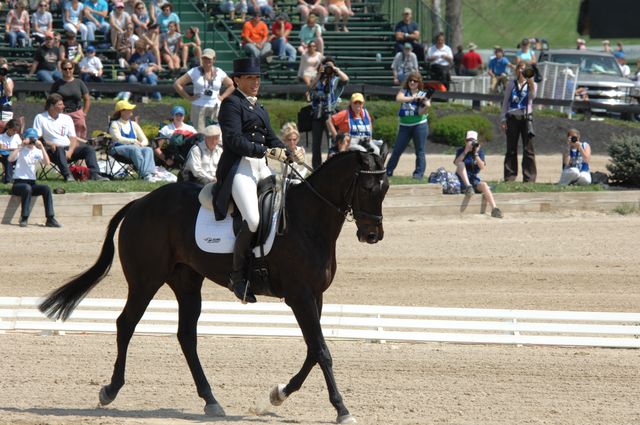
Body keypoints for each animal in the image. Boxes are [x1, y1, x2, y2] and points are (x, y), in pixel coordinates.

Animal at [41, 149, 390, 420]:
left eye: (385, 187)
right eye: (368, 186)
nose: (372, 235)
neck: (307, 221)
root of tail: (140, 203)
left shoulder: (314, 296)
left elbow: (312, 350)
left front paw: (277, 394)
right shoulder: (299, 296)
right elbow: (321, 350)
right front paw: (342, 410)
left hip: (186, 282)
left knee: (186, 336)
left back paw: (211, 401)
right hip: (145, 280)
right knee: (126, 324)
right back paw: (110, 390)